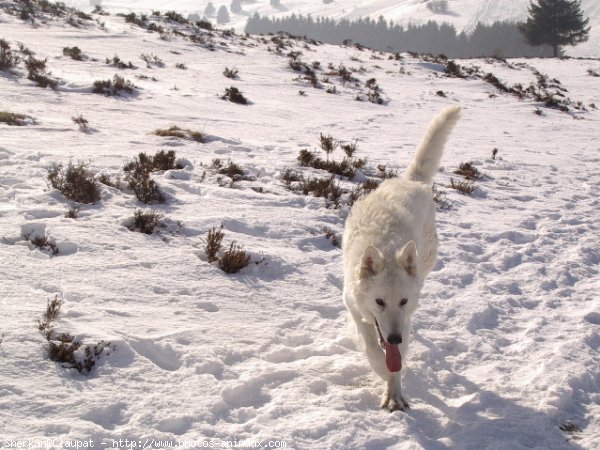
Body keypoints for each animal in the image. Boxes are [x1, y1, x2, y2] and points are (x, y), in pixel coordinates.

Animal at [342, 106, 460, 412]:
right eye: (379, 301)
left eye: (403, 301)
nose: (395, 337)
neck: (385, 245)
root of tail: (411, 181)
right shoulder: (354, 306)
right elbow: (372, 348)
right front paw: (383, 371)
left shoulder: (405, 316)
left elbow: (396, 360)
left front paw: (393, 392)